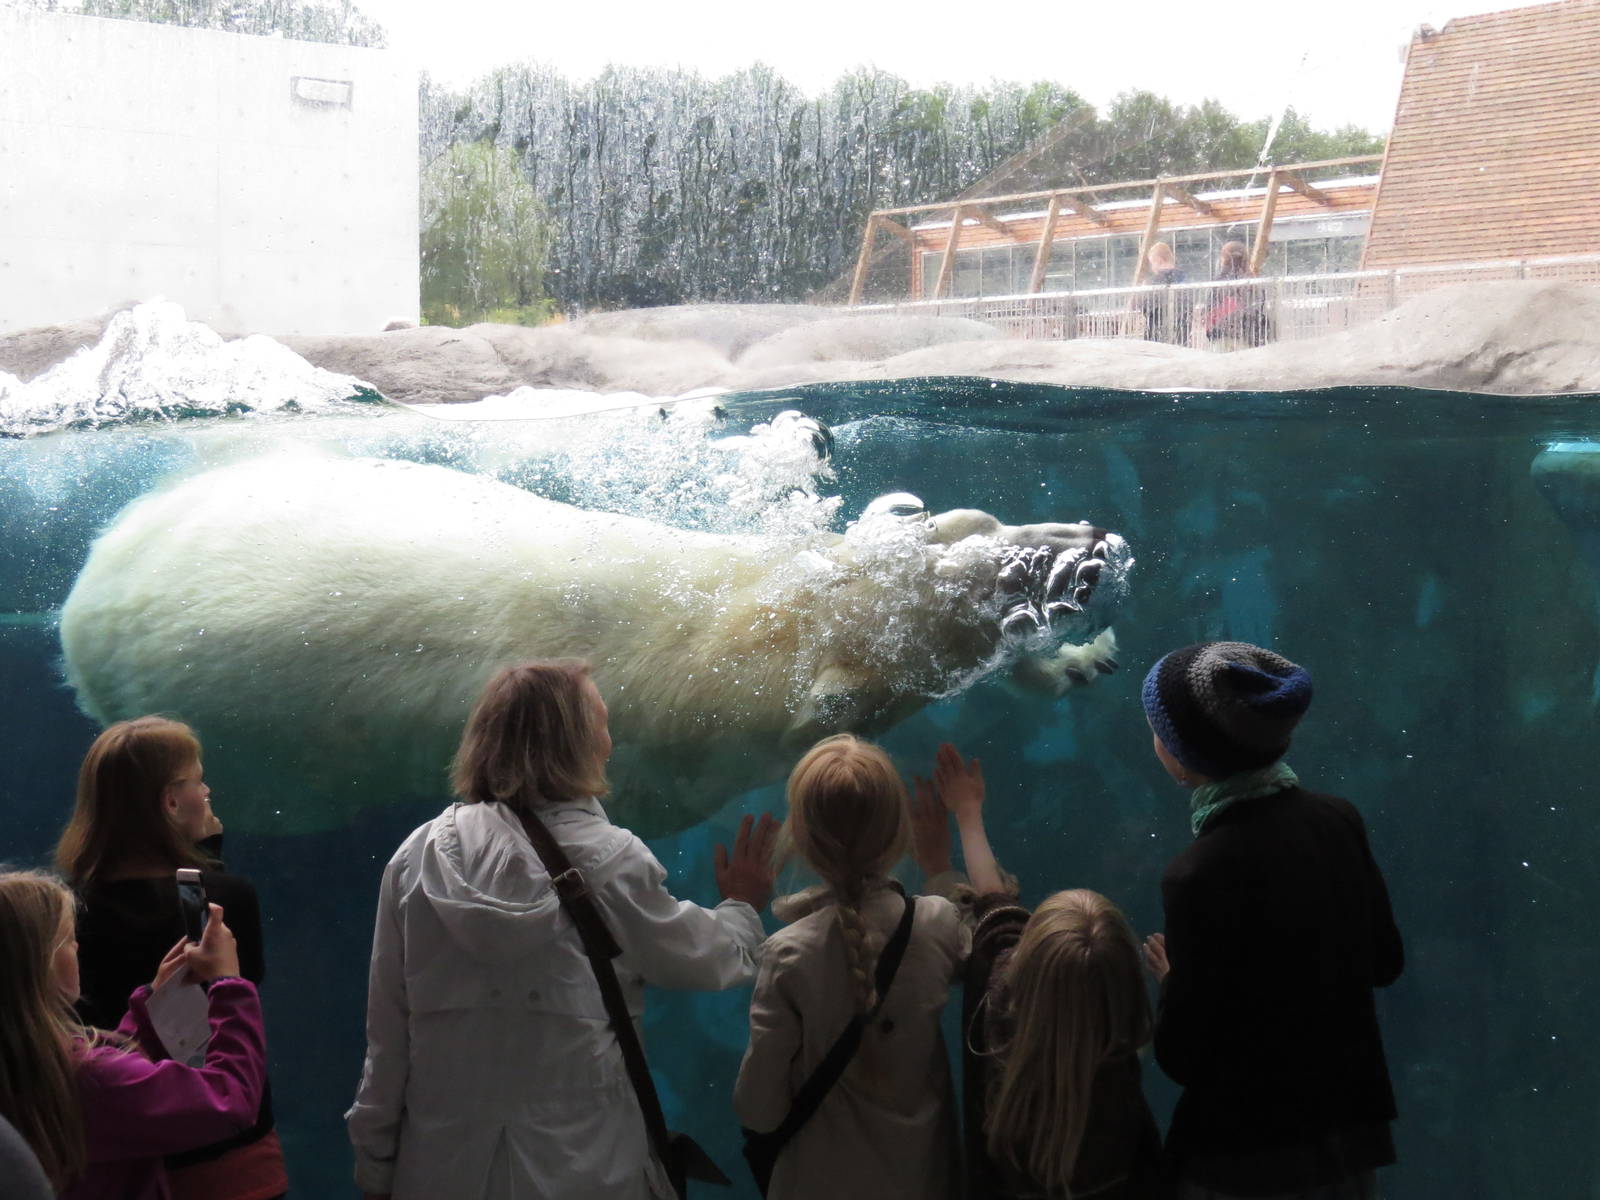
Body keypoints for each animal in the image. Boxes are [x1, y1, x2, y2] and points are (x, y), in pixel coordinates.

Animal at [59, 454, 1128, 837]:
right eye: (983, 589)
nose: (1085, 557)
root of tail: (76, 606)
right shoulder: (670, 744)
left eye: (983, 524)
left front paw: (1084, 657)